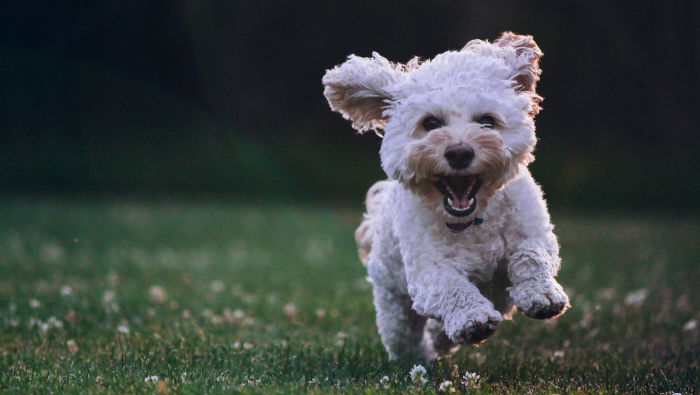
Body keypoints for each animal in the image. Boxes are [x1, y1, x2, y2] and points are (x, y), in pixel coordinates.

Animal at [322, 33, 568, 362]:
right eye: (430, 123)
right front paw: (472, 319)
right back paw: (421, 356)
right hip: (393, 302)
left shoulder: (534, 232)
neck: (473, 221)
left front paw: (541, 294)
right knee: (403, 336)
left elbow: (531, 255)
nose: (459, 152)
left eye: (487, 121)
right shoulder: (428, 271)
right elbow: (452, 287)